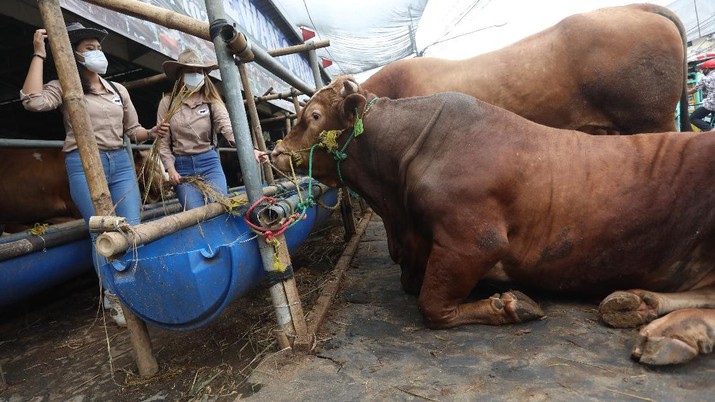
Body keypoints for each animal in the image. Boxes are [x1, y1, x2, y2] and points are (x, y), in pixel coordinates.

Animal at [272, 77, 715, 366]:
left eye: (314, 115)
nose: (274, 150)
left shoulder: (474, 241)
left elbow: (431, 305)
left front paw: (509, 305)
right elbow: (414, 285)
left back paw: (667, 332)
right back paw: (640, 309)